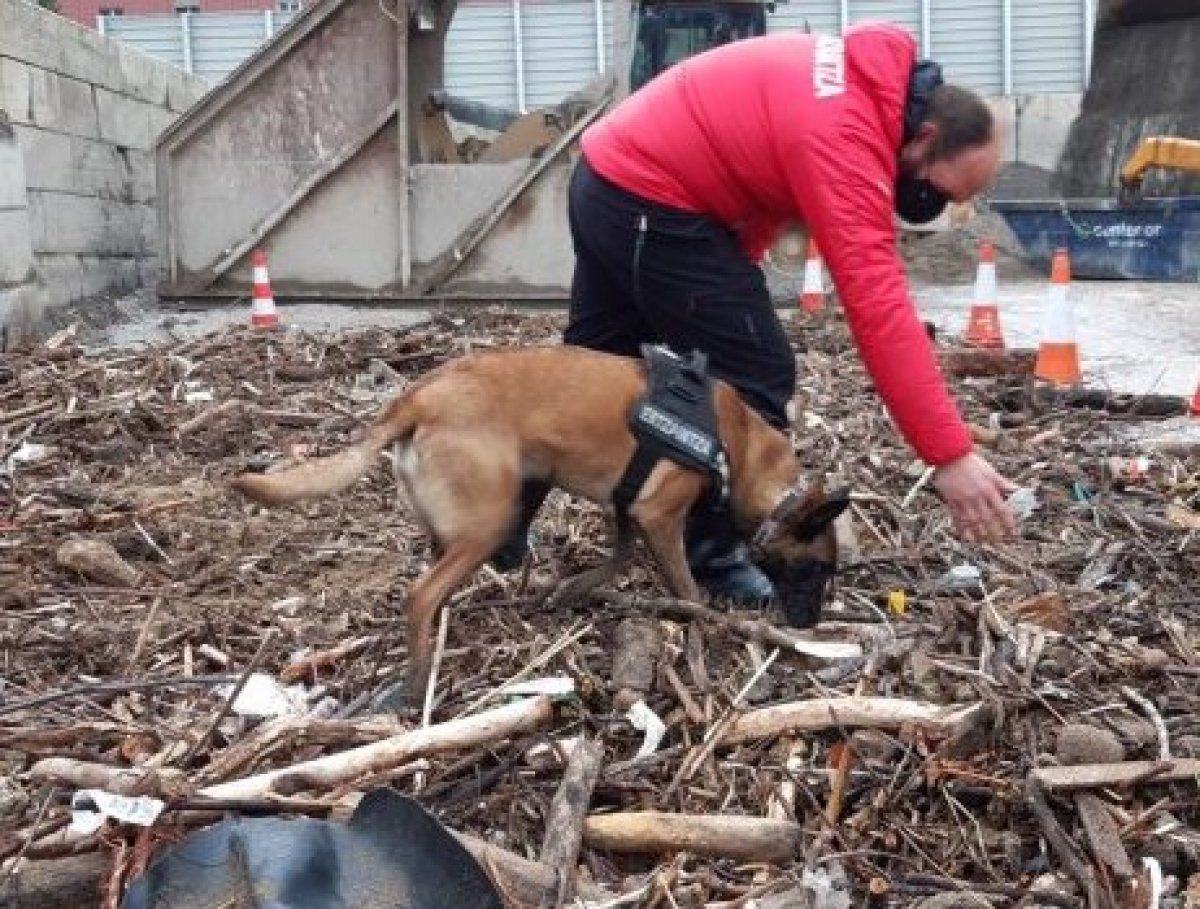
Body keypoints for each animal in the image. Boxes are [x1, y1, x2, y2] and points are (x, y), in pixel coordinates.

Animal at [231, 347, 854, 705]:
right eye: (816, 570)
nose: (809, 624)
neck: (738, 444)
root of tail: (420, 396)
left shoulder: (628, 508)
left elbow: (619, 556)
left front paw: (573, 588)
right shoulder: (659, 516)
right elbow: (685, 590)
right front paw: (702, 642)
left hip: (459, 526)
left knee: (433, 584)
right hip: (487, 522)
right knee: (419, 595)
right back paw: (416, 680)